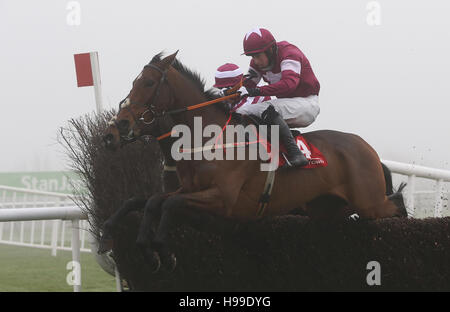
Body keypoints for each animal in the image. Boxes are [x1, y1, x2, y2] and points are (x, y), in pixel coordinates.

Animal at [102, 51, 408, 270]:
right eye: (134, 82)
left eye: (148, 83)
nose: (115, 129)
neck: (208, 139)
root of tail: (367, 148)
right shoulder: (191, 193)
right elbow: (149, 201)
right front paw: (119, 240)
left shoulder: (222, 199)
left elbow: (167, 204)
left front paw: (163, 252)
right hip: (328, 208)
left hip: (369, 202)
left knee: (396, 204)